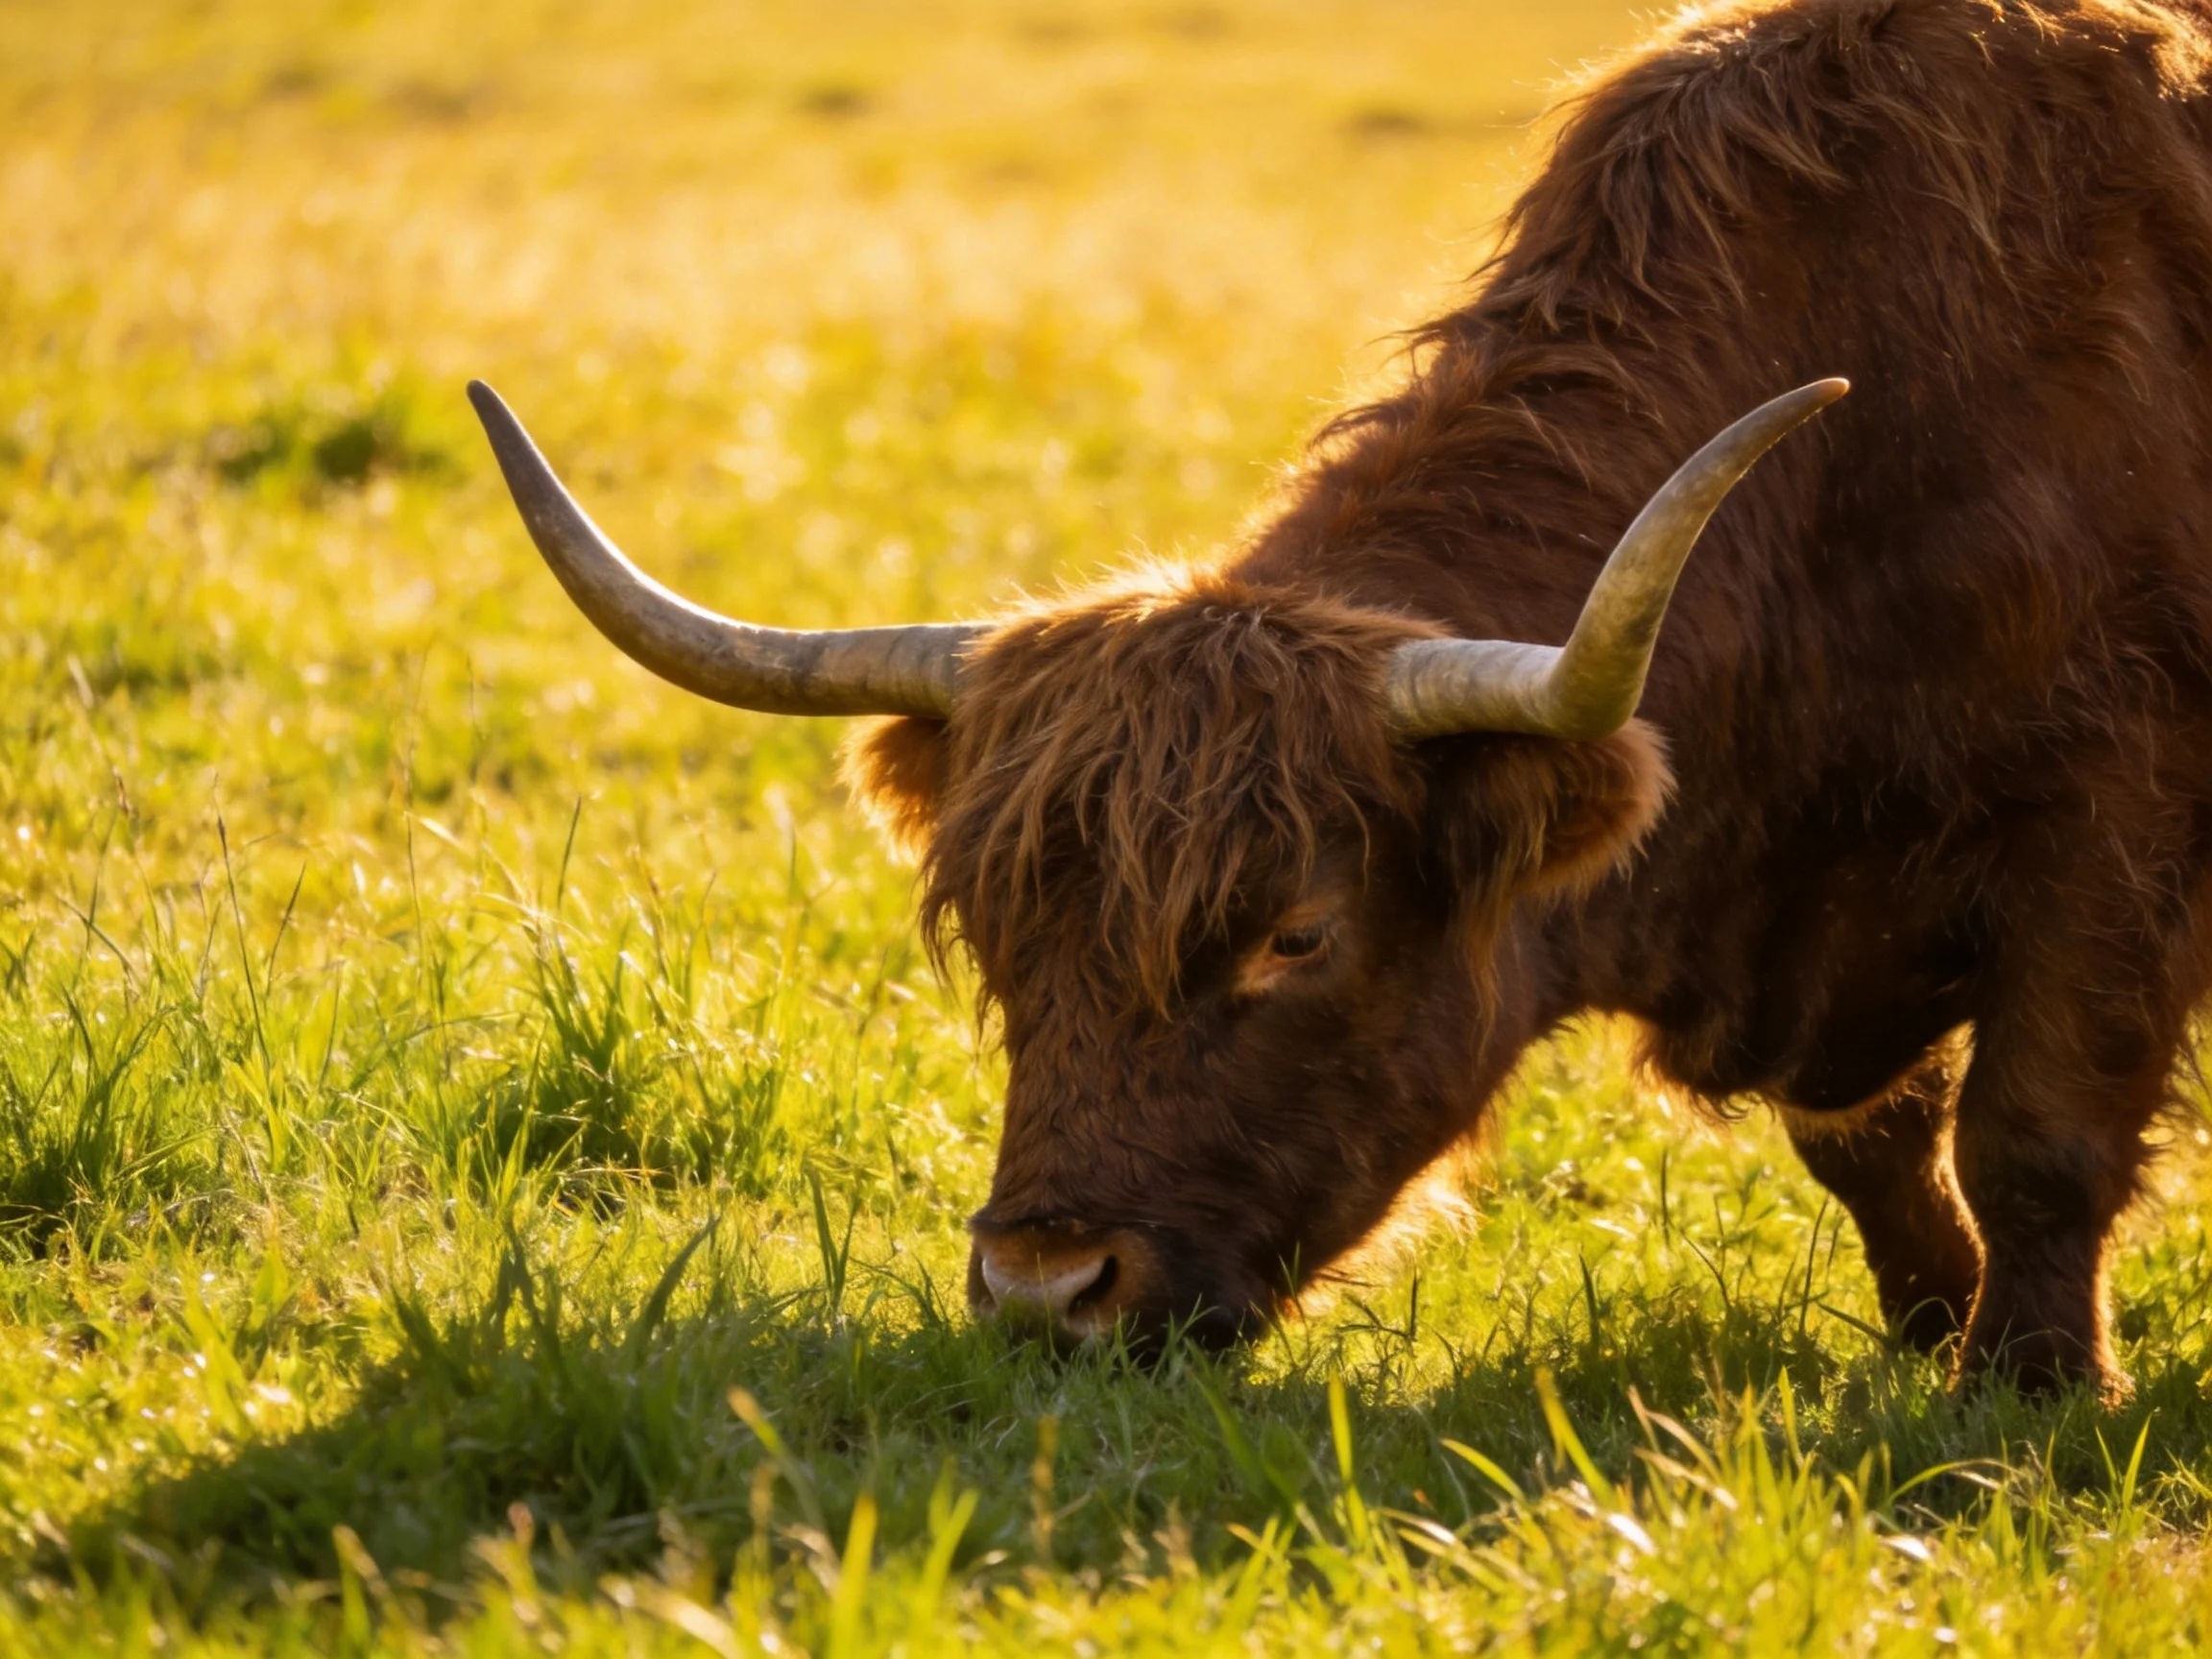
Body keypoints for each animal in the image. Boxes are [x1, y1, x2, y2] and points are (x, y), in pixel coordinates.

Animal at [470, 0, 2212, 1400]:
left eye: (1294, 935)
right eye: (997, 934)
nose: (1046, 1292)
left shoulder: (2106, 831)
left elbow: (2031, 1133)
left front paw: (2025, 1393)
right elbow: (1871, 1142)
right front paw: (1932, 1334)